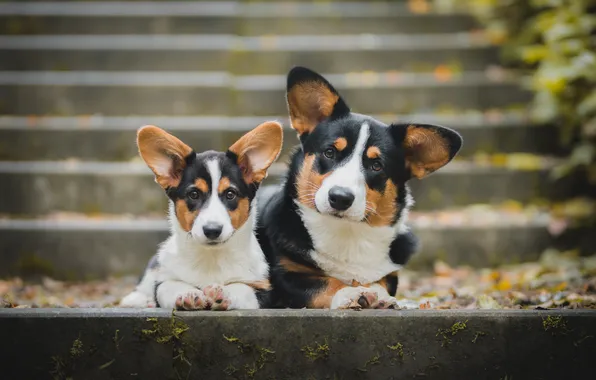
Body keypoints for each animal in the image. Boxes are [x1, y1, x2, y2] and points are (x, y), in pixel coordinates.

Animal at [121, 120, 284, 310]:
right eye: (194, 194)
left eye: (230, 194)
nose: (212, 230)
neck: (211, 257)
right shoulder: (163, 281)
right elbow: (170, 286)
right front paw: (189, 294)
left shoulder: (264, 288)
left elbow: (242, 288)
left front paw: (223, 292)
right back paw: (138, 299)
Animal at [258, 67, 464, 310]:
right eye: (329, 152)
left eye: (376, 165)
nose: (340, 198)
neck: (346, 232)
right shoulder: (284, 278)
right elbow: (325, 283)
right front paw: (350, 292)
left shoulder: (390, 275)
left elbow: (381, 282)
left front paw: (380, 296)